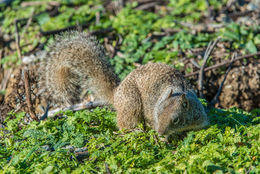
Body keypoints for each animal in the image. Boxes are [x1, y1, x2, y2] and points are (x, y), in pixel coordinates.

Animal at [39, 30, 209, 137]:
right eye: (157, 114)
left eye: (176, 120)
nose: (159, 132)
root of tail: (116, 94)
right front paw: (165, 138)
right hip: (131, 104)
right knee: (124, 124)